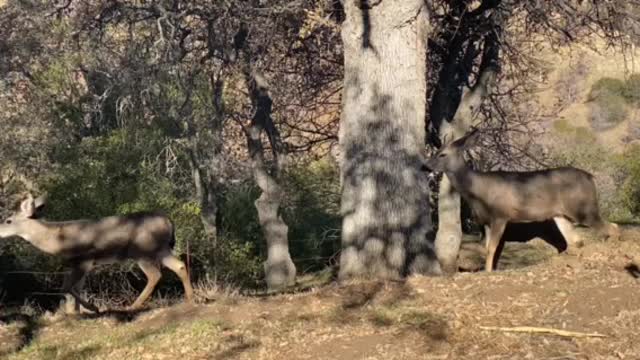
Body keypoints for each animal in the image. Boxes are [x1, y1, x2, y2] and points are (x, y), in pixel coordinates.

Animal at [0, 194, 195, 312]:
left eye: (8, 220)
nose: (0, 231)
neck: (58, 239)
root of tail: (169, 221)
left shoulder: (84, 259)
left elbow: (66, 287)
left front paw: (92, 308)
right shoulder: (80, 264)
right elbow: (75, 288)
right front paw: (78, 313)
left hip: (142, 250)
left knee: (155, 275)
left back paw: (132, 306)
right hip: (160, 249)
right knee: (179, 265)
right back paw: (190, 298)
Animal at [424, 128, 620, 272]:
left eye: (442, 154)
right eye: (436, 152)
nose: (425, 166)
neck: (478, 192)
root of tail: (591, 178)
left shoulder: (501, 215)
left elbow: (492, 248)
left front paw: (488, 272)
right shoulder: (485, 221)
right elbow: (486, 248)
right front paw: (488, 270)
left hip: (583, 208)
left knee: (612, 227)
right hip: (561, 214)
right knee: (577, 240)